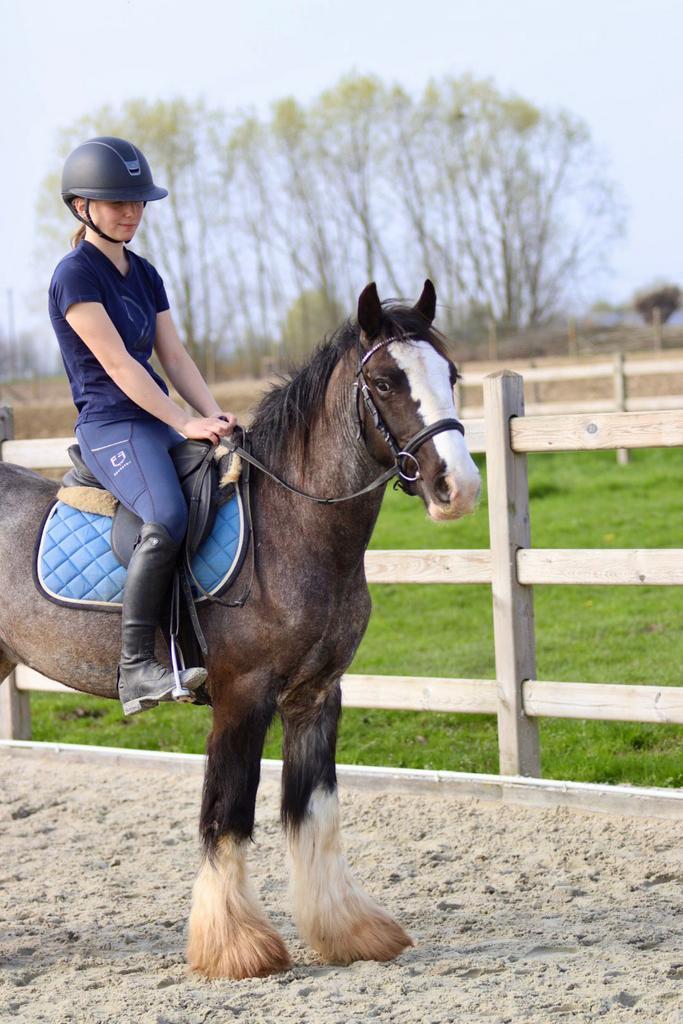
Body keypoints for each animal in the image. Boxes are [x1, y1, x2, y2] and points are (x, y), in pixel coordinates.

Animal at [0, 280, 481, 980]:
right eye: (386, 381)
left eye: (450, 375)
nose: (458, 487)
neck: (295, 526)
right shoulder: (243, 697)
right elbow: (227, 813)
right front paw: (236, 947)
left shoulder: (317, 696)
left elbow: (315, 812)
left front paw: (347, 932)